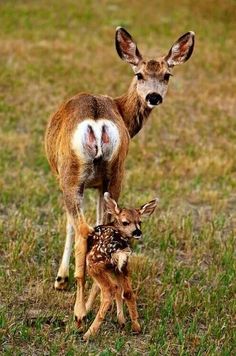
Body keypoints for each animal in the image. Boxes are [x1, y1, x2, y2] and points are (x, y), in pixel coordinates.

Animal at [44, 26, 195, 324]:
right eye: (139, 74)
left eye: (167, 75)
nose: (153, 97)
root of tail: (97, 121)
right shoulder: (99, 185)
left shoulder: (71, 181)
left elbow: (69, 224)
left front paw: (60, 280)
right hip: (115, 172)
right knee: (104, 227)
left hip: (72, 173)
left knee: (84, 228)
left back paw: (80, 311)